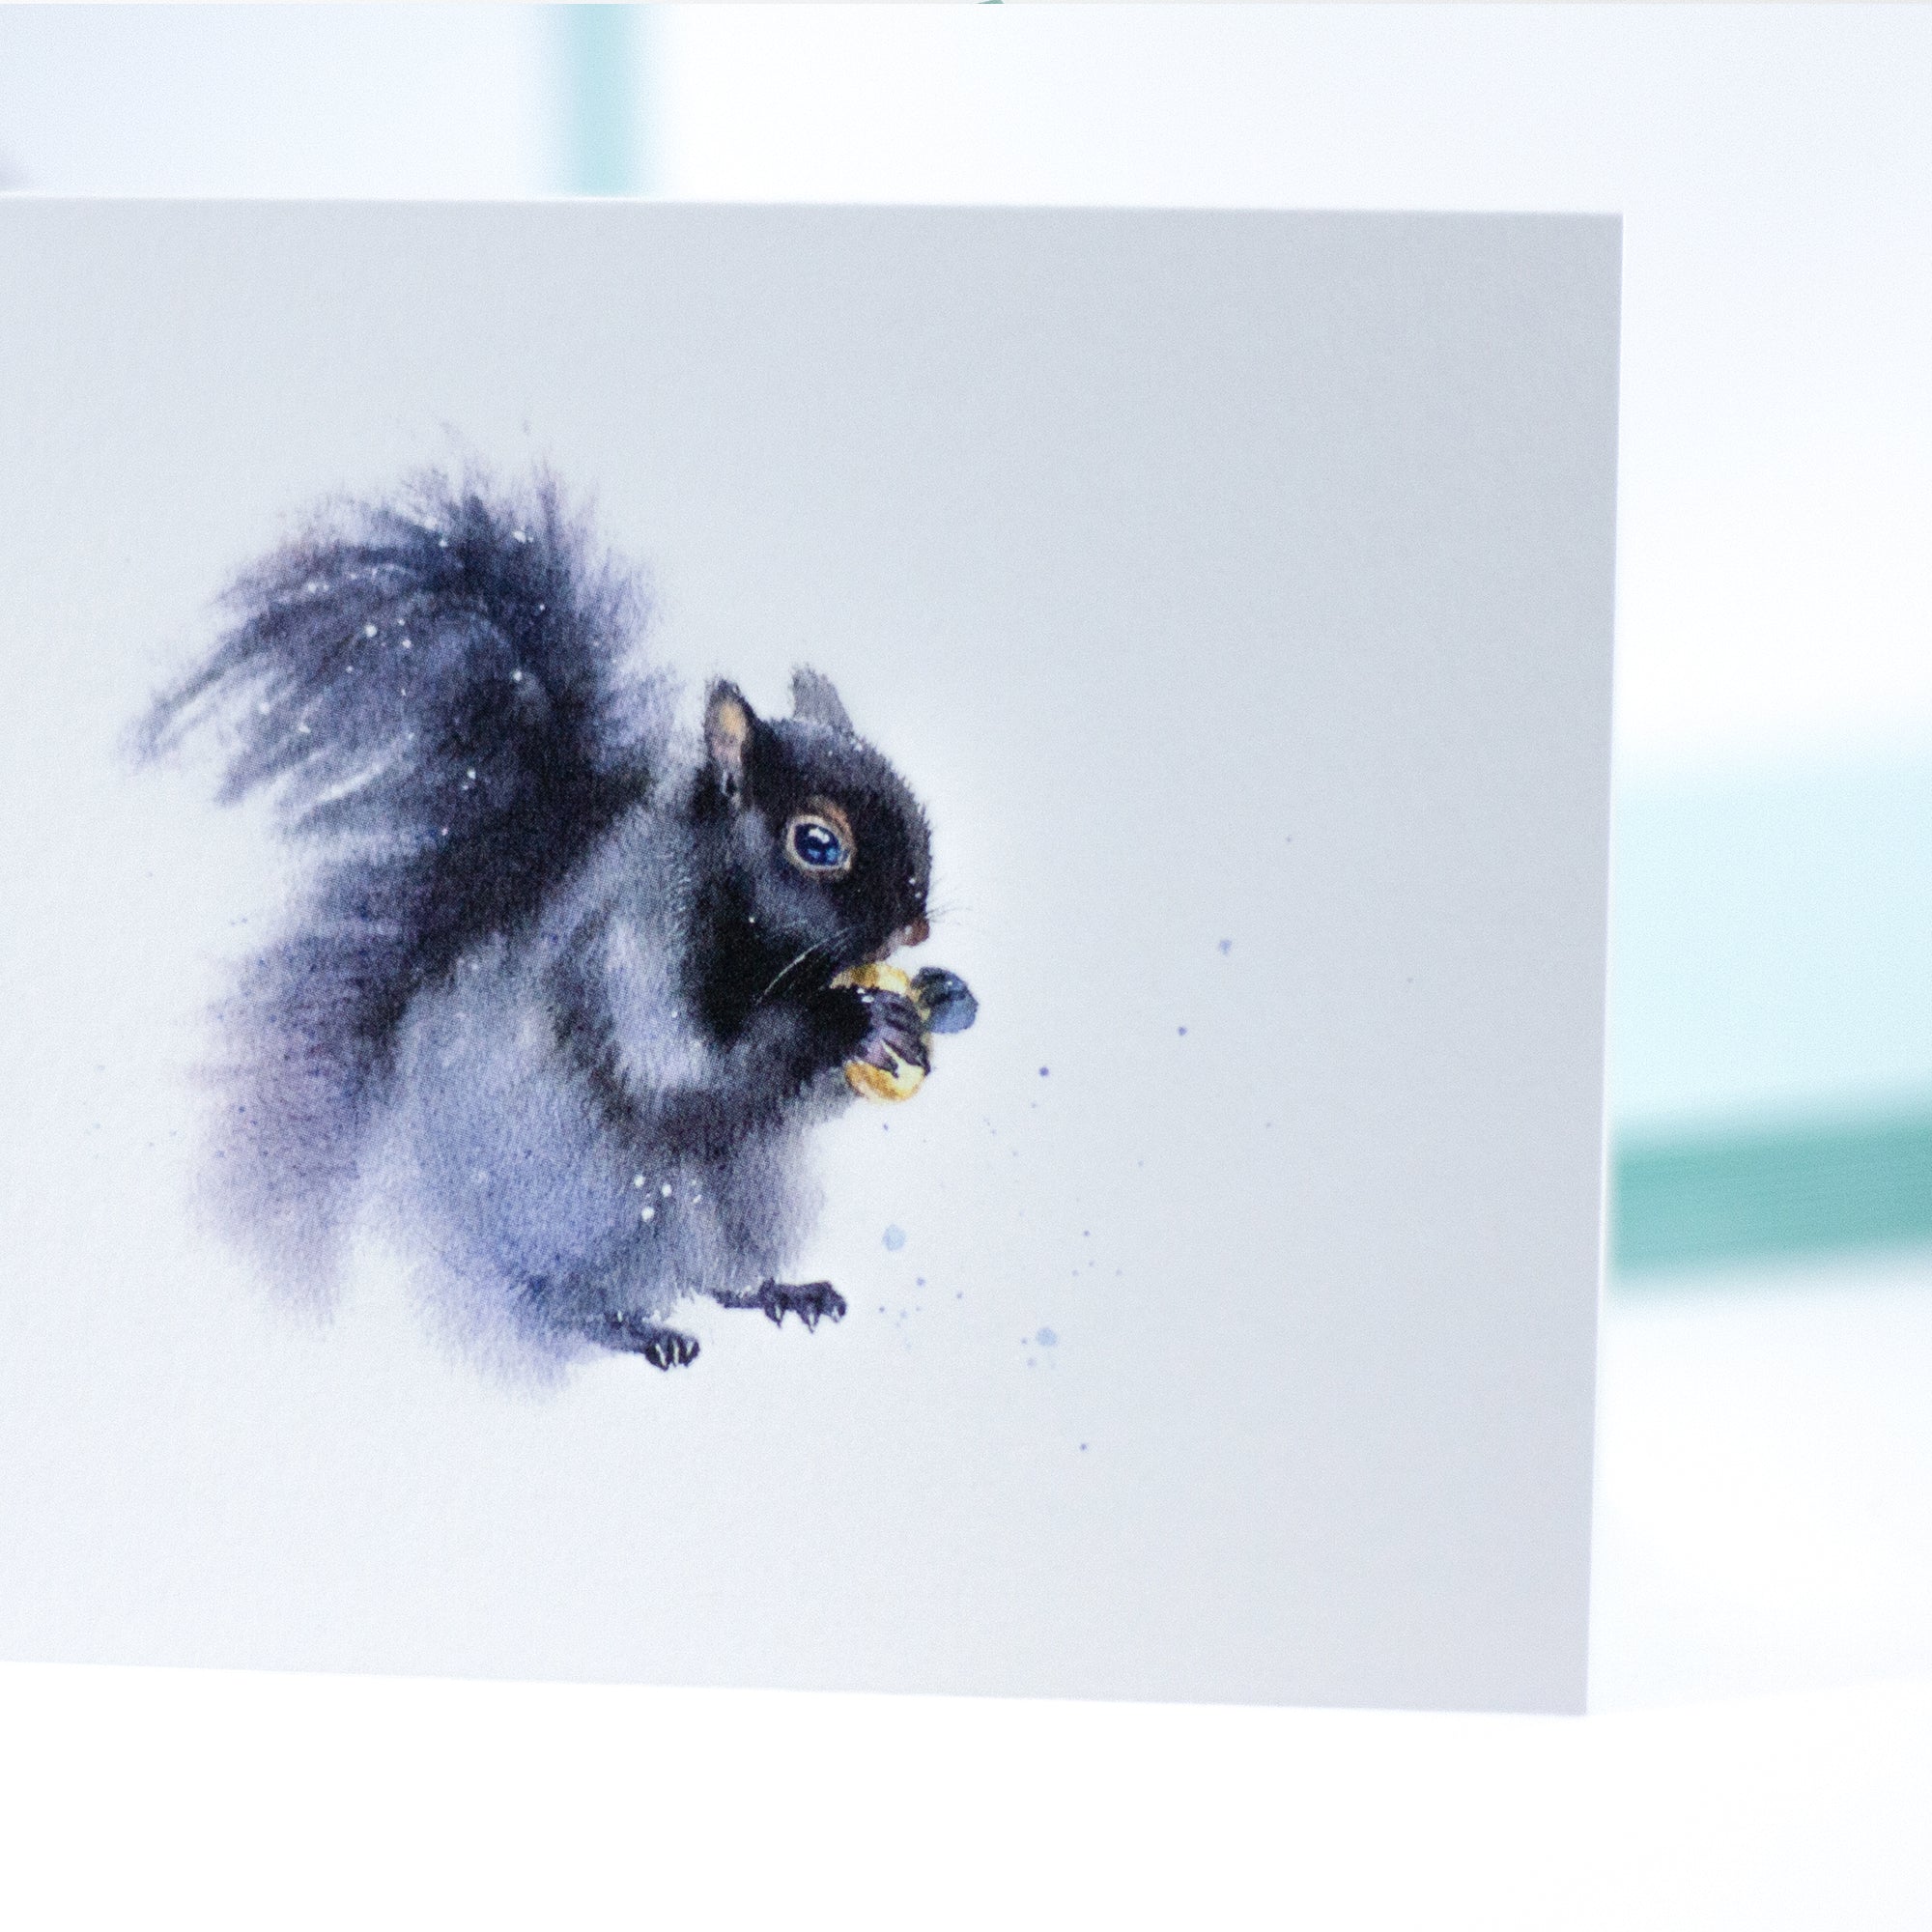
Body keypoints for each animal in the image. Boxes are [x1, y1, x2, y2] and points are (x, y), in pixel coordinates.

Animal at [139, 470, 977, 1372]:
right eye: (817, 842)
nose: (914, 931)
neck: (764, 942)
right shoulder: (632, 943)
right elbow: (679, 1062)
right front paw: (849, 1018)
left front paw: (935, 998)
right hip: (588, 1204)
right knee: (553, 1296)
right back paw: (629, 1327)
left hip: (750, 1199)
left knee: (719, 1271)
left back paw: (782, 1288)